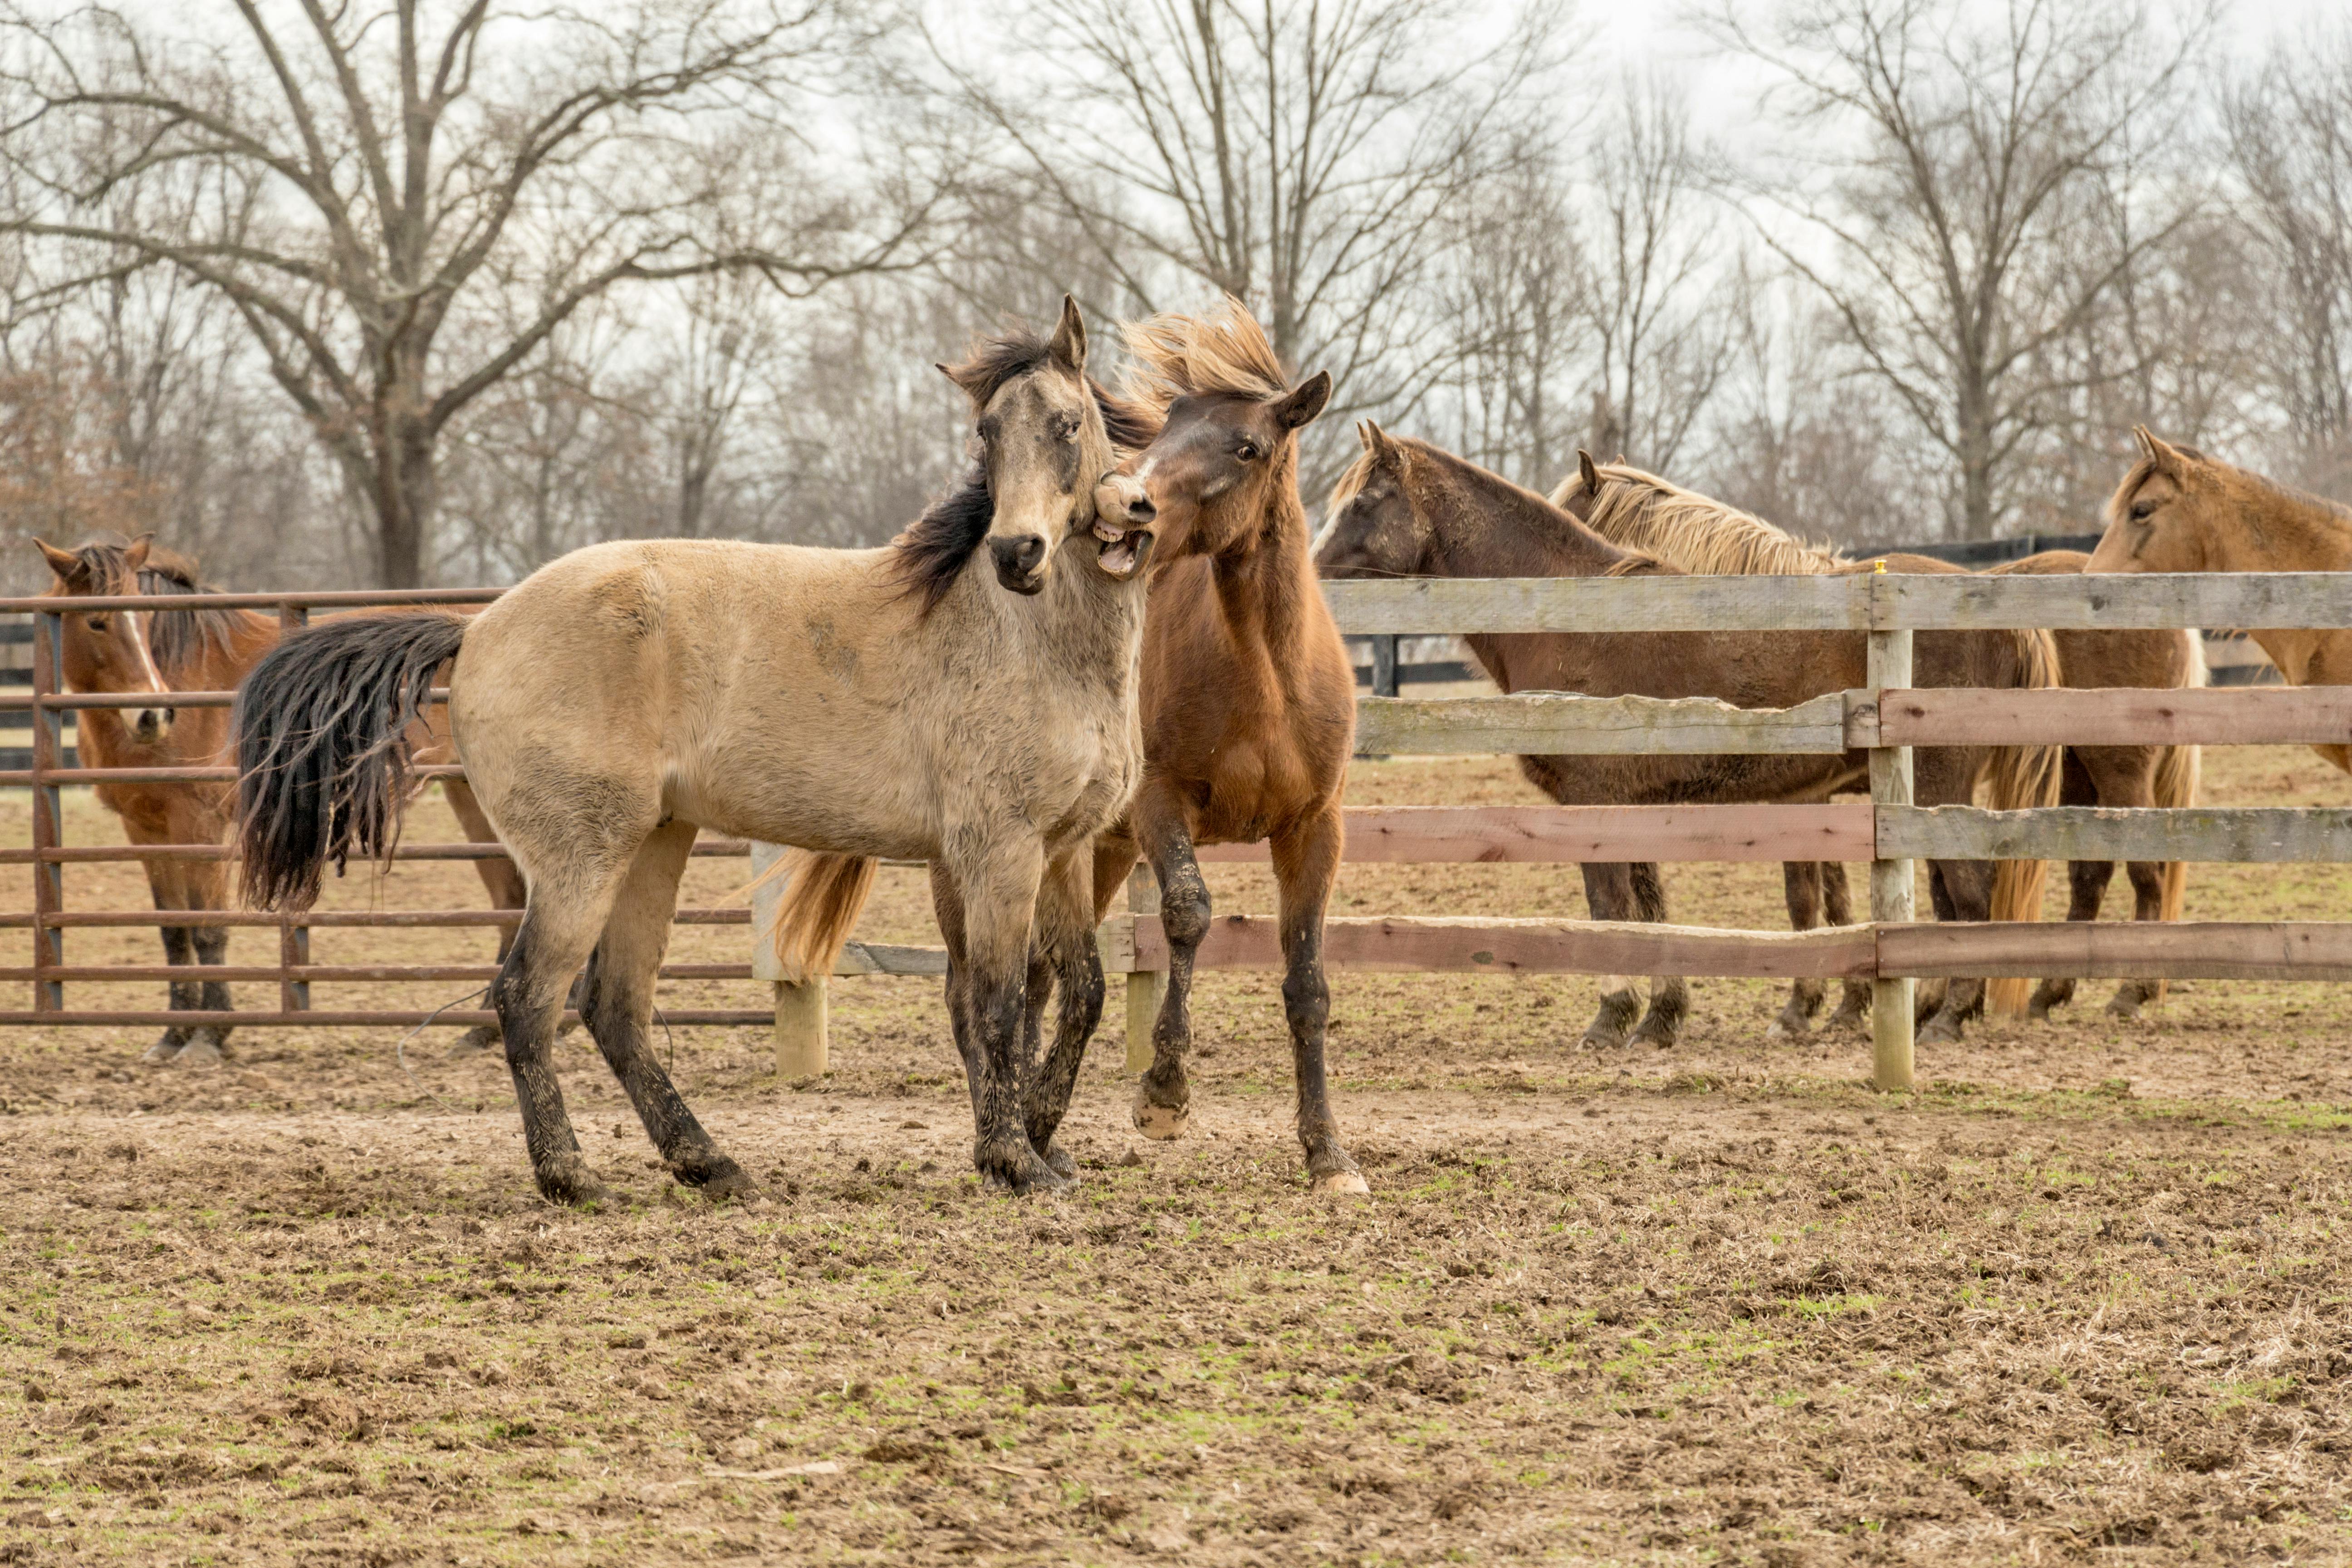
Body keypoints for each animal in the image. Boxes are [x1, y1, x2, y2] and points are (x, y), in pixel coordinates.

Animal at [33, 534, 519, 1062]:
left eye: (143, 621)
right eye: (96, 622)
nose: (153, 716)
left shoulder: (200, 824)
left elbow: (207, 927)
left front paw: (210, 1036)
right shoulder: (144, 828)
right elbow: (174, 930)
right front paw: (173, 1035)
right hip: (472, 798)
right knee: (512, 899)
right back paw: (483, 1031)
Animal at [239, 297, 1157, 1203]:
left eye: (1068, 423)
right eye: (986, 433)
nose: (1016, 553)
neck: (1026, 641)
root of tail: (479, 627)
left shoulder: (1061, 852)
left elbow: (1076, 992)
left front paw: (1035, 1145)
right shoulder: (997, 850)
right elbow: (998, 1003)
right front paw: (1015, 1161)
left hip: (653, 844)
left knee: (614, 1008)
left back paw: (709, 1164)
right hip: (582, 859)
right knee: (528, 997)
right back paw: (573, 1175)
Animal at [1336, 430, 2069, 1048]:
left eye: (1366, 502)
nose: (1311, 575)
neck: (1576, 620)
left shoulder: (1593, 804)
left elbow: (1612, 906)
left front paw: (1612, 1018)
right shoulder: (1637, 808)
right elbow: (1655, 910)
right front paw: (1662, 1019)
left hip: (1940, 790)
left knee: (1970, 895)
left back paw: (1947, 1017)